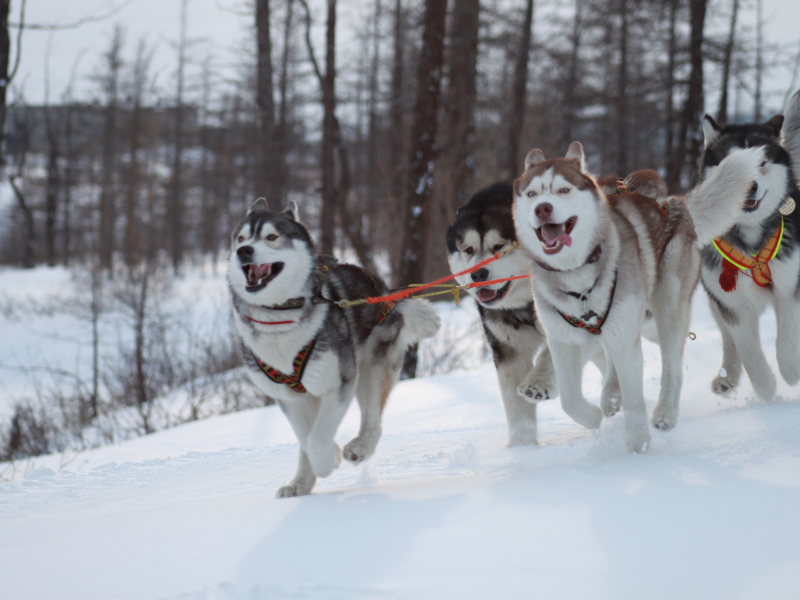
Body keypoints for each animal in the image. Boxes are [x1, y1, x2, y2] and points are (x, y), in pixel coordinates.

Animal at [228, 202, 440, 496]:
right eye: (240, 238)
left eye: (271, 237)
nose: (243, 251)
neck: (280, 318)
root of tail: (386, 292)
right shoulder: (290, 398)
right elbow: (306, 439)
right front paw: (302, 482)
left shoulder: (339, 384)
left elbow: (316, 438)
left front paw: (329, 459)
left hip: (370, 368)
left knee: (373, 421)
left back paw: (359, 447)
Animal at [444, 183, 556, 446]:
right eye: (469, 250)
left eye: (499, 247)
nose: (477, 274)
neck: (527, 304)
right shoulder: (508, 348)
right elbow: (516, 407)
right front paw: (522, 448)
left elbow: (550, 355)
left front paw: (538, 382)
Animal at [512, 141, 764, 450]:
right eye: (532, 194)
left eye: (564, 190)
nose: (542, 209)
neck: (578, 280)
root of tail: (675, 202)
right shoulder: (565, 337)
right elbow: (570, 398)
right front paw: (590, 416)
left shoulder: (619, 332)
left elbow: (633, 397)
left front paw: (638, 444)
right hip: (640, 323)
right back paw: (610, 394)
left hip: (665, 309)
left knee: (673, 364)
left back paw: (664, 412)